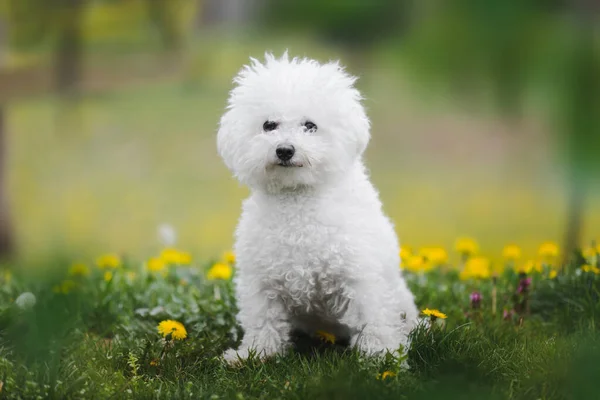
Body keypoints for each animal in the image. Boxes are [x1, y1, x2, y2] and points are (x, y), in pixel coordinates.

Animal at [216, 52, 418, 362]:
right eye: (268, 125)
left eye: (310, 126)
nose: (284, 150)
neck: (298, 199)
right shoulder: (262, 282)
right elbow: (264, 320)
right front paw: (256, 353)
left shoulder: (360, 276)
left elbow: (372, 318)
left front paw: (382, 354)